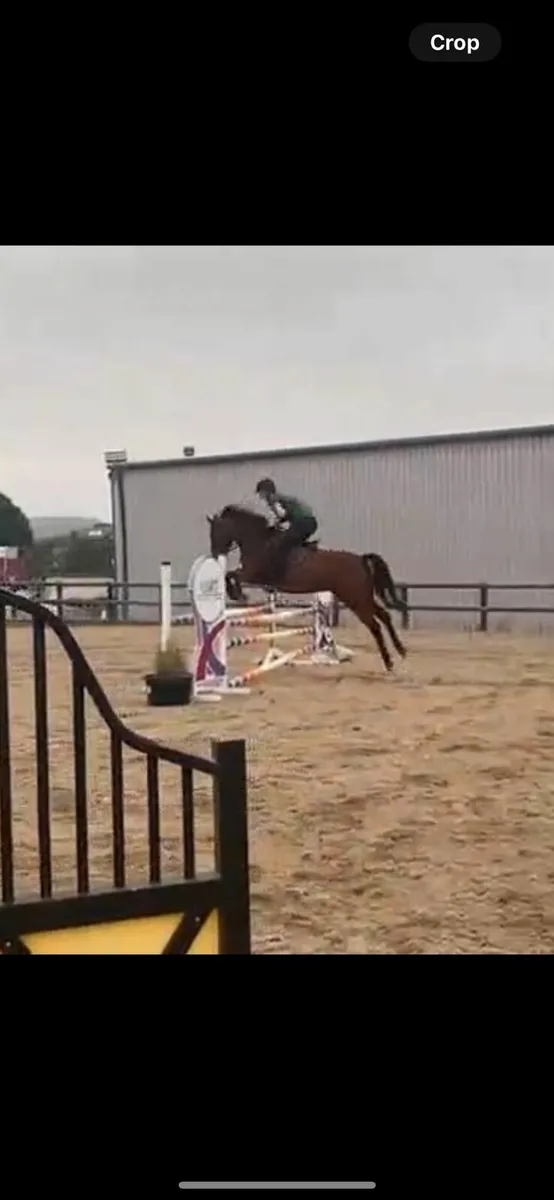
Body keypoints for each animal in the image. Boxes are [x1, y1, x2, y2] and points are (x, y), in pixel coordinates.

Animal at [207, 505, 406, 672]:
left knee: (375, 625)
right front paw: (237, 593)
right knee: (384, 616)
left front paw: (238, 594)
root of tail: (361, 559)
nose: (215, 554)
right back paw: (400, 651)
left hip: (355, 599)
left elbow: (231, 575)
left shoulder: (254, 574)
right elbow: (231, 575)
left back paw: (389, 662)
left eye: (216, 531)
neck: (259, 541)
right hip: (362, 597)